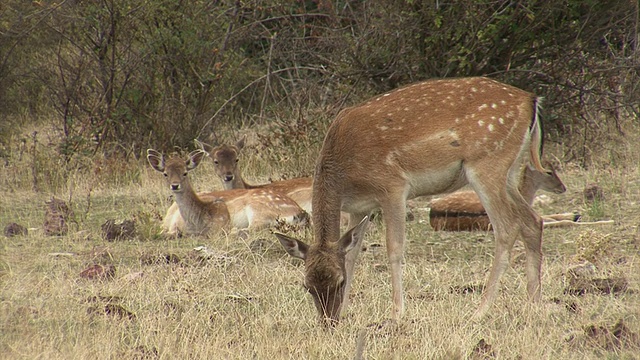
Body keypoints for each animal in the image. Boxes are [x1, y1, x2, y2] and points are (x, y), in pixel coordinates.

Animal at [148, 148, 308, 236]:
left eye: (185, 173)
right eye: (165, 174)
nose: (175, 186)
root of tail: (300, 212)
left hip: (259, 210)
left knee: (253, 227)